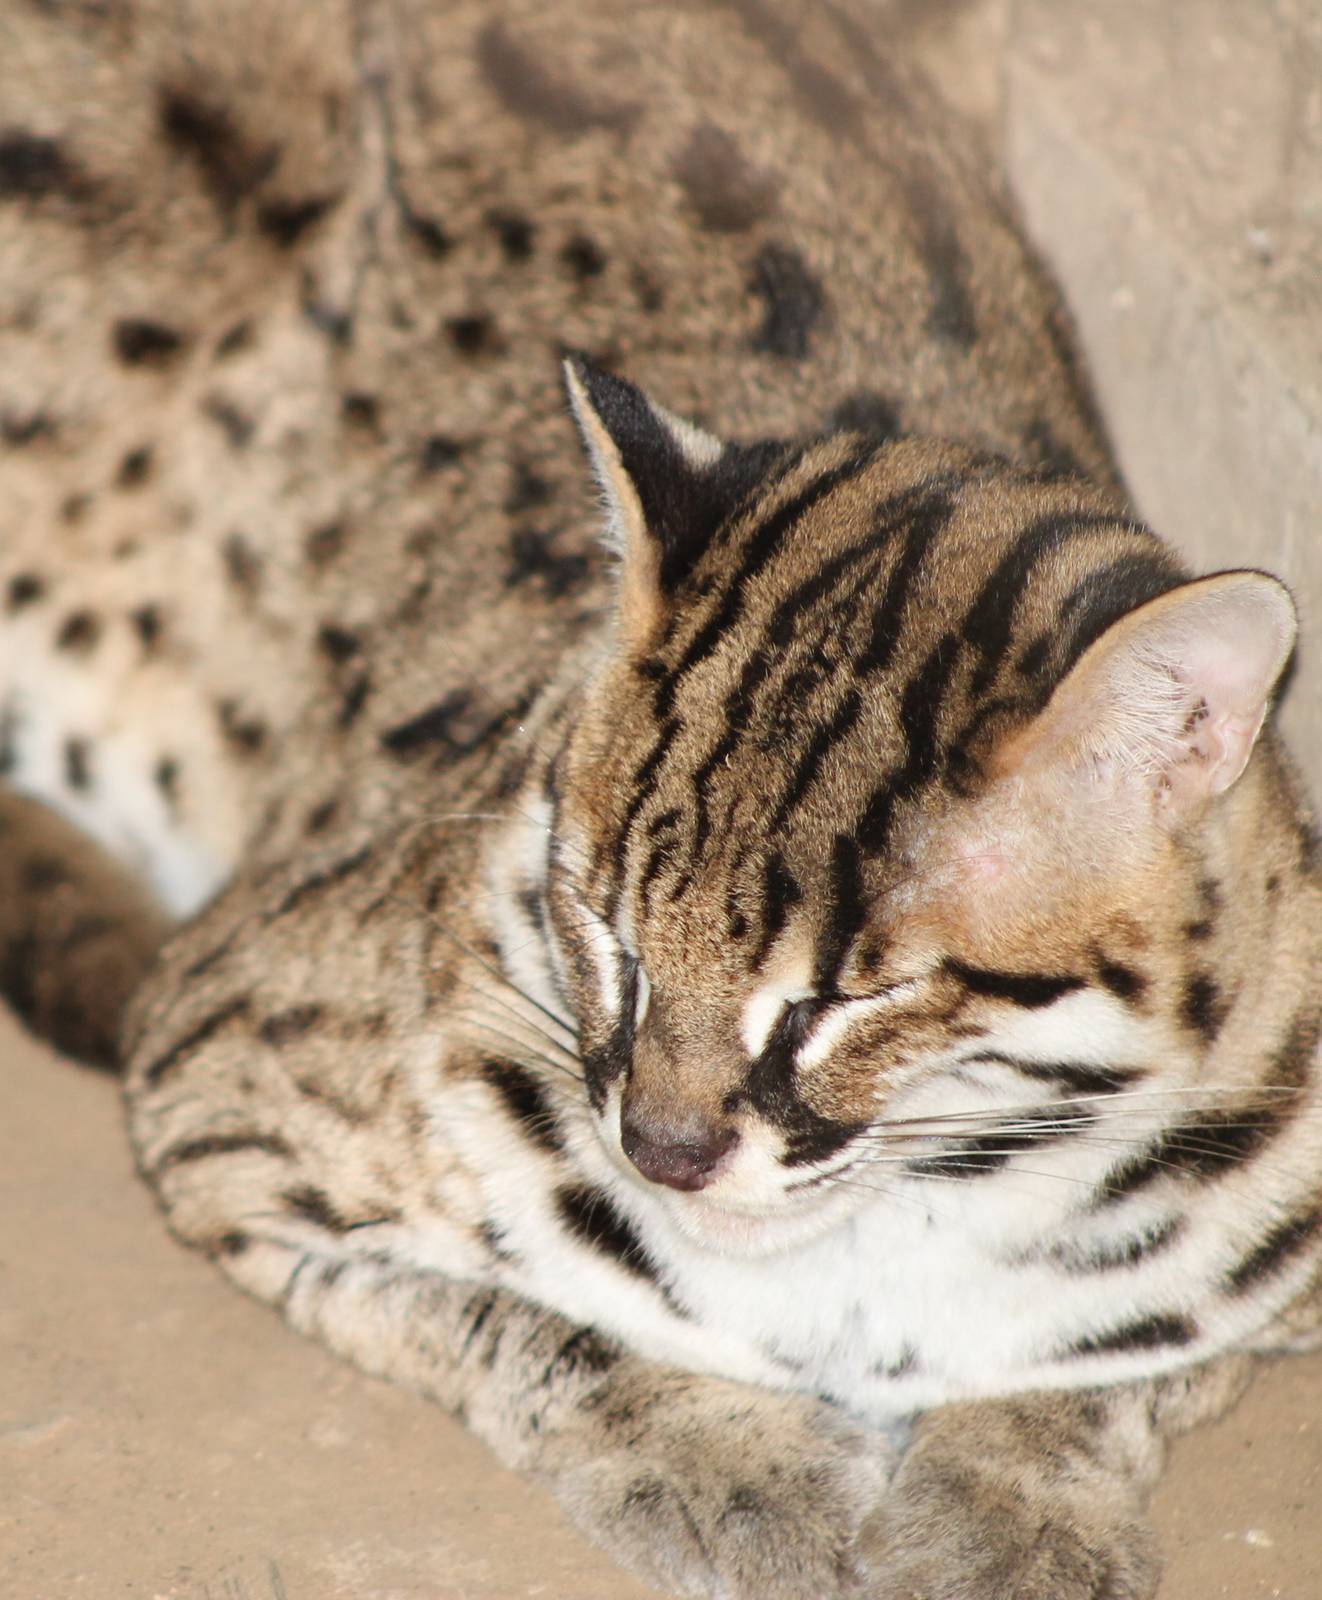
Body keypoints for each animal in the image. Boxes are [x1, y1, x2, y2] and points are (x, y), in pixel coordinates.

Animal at [3, 2, 1320, 1597]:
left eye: (846, 1000)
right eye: (602, 928)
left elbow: (1120, 1369)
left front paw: (1014, 1498)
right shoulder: (214, 1080)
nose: (664, 1152)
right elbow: (533, 1320)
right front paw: (730, 1456)